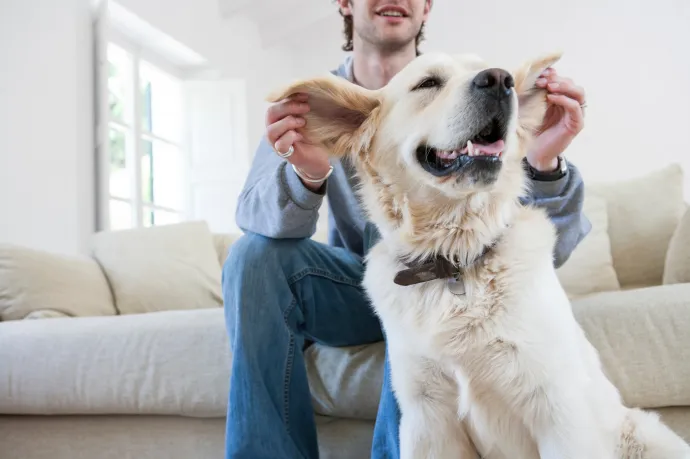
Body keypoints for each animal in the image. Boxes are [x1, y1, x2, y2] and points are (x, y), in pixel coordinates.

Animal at [264, 52, 688, 458]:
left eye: (497, 73)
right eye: (428, 82)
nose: (500, 80)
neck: (455, 259)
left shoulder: (559, 411)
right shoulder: (427, 419)